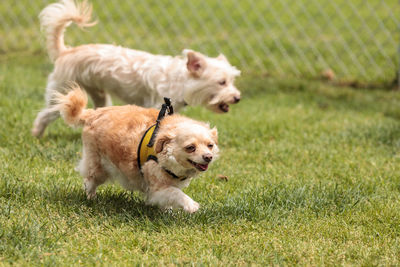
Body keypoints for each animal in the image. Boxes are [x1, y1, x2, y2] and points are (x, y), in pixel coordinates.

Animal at [32, 0, 241, 138]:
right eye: (221, 82)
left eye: (232, 81)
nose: (237, 98)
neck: (180, 81)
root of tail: (66, 52)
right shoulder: (157, 107)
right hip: (60, 90)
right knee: (45, 114)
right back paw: (37, 134)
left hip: (99, 96)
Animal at [53, 86, 219, 214]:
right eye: (190, 148)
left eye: (210, 145)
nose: (208, 157)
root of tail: (92, 113)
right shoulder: (157, 188)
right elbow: (176, 193)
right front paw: (191, 205)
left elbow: (170, 198)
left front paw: (168, 212)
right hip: (98, 166)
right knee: (89, 181)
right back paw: (91, 198)